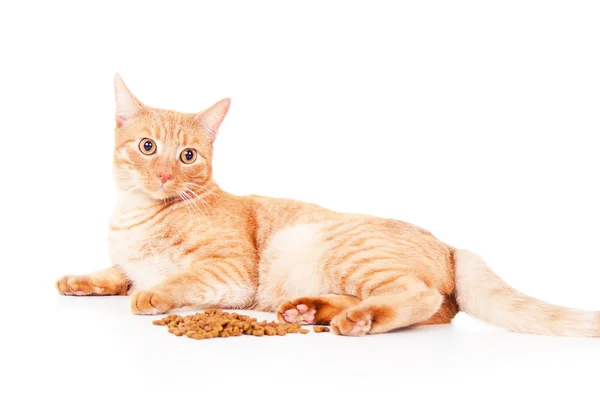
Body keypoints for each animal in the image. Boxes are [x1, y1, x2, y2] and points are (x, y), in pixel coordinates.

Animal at [54, 74, 596, 334]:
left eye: (187, 156)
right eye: (148, 147)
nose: (165, 173)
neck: (134, 215)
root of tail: (449, 245)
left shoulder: (230, 273)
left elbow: (177, 280)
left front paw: (150, 295)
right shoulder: (127, 259)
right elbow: (116, 271)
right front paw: (81, 280)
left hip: (338, 246)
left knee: (421, 297)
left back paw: (357, 321)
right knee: (434, 308)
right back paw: (309, 310)